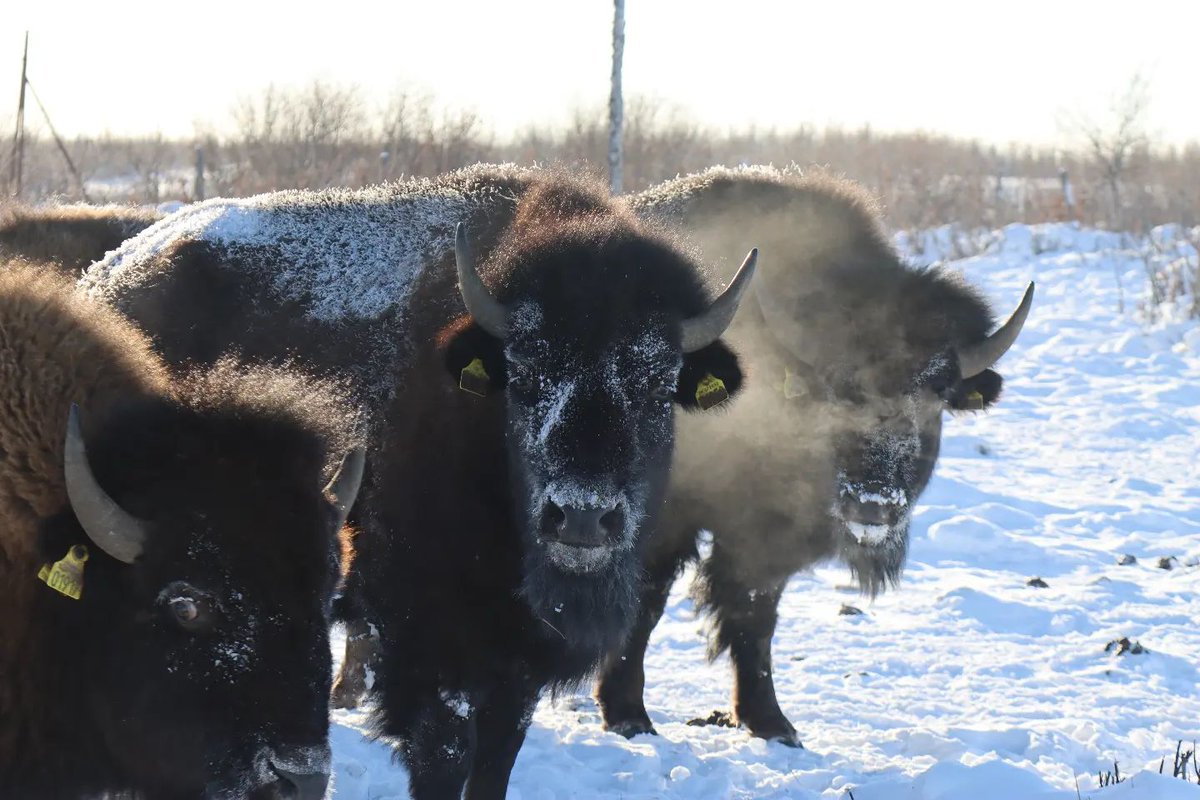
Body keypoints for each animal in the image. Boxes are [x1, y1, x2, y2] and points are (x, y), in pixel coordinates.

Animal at [82, 164, 758, 800]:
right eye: (525, 373)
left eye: (657, 383)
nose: (583, 515)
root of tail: (104, 278)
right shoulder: (428, 652)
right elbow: (445, 757)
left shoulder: (515, 665)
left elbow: (497, 760)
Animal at [590, 165, 1032, 748]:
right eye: (838, 390)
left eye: (936, 398)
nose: (873, 505)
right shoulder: (664, 522)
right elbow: (646, 602)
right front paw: (629, 716)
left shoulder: (762, 541)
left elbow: (755, 614)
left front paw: (774, 725)